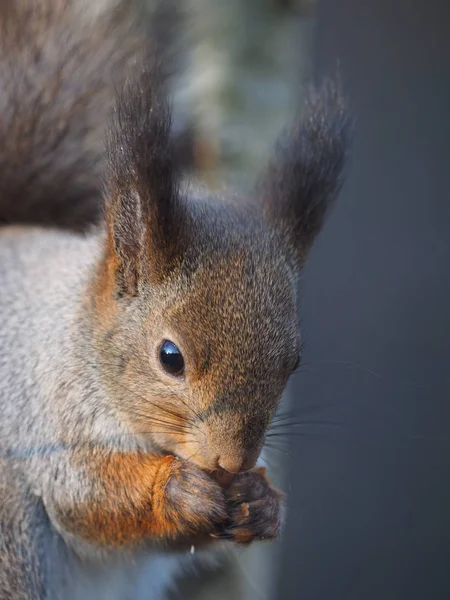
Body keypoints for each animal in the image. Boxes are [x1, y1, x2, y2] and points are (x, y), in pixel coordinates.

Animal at [0, 1, 348, 600]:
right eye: (170, 357)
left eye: (294, 362)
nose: (231, 462)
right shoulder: (41, 410)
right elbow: (83, 493)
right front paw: (177, 491)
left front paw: (262, 502)